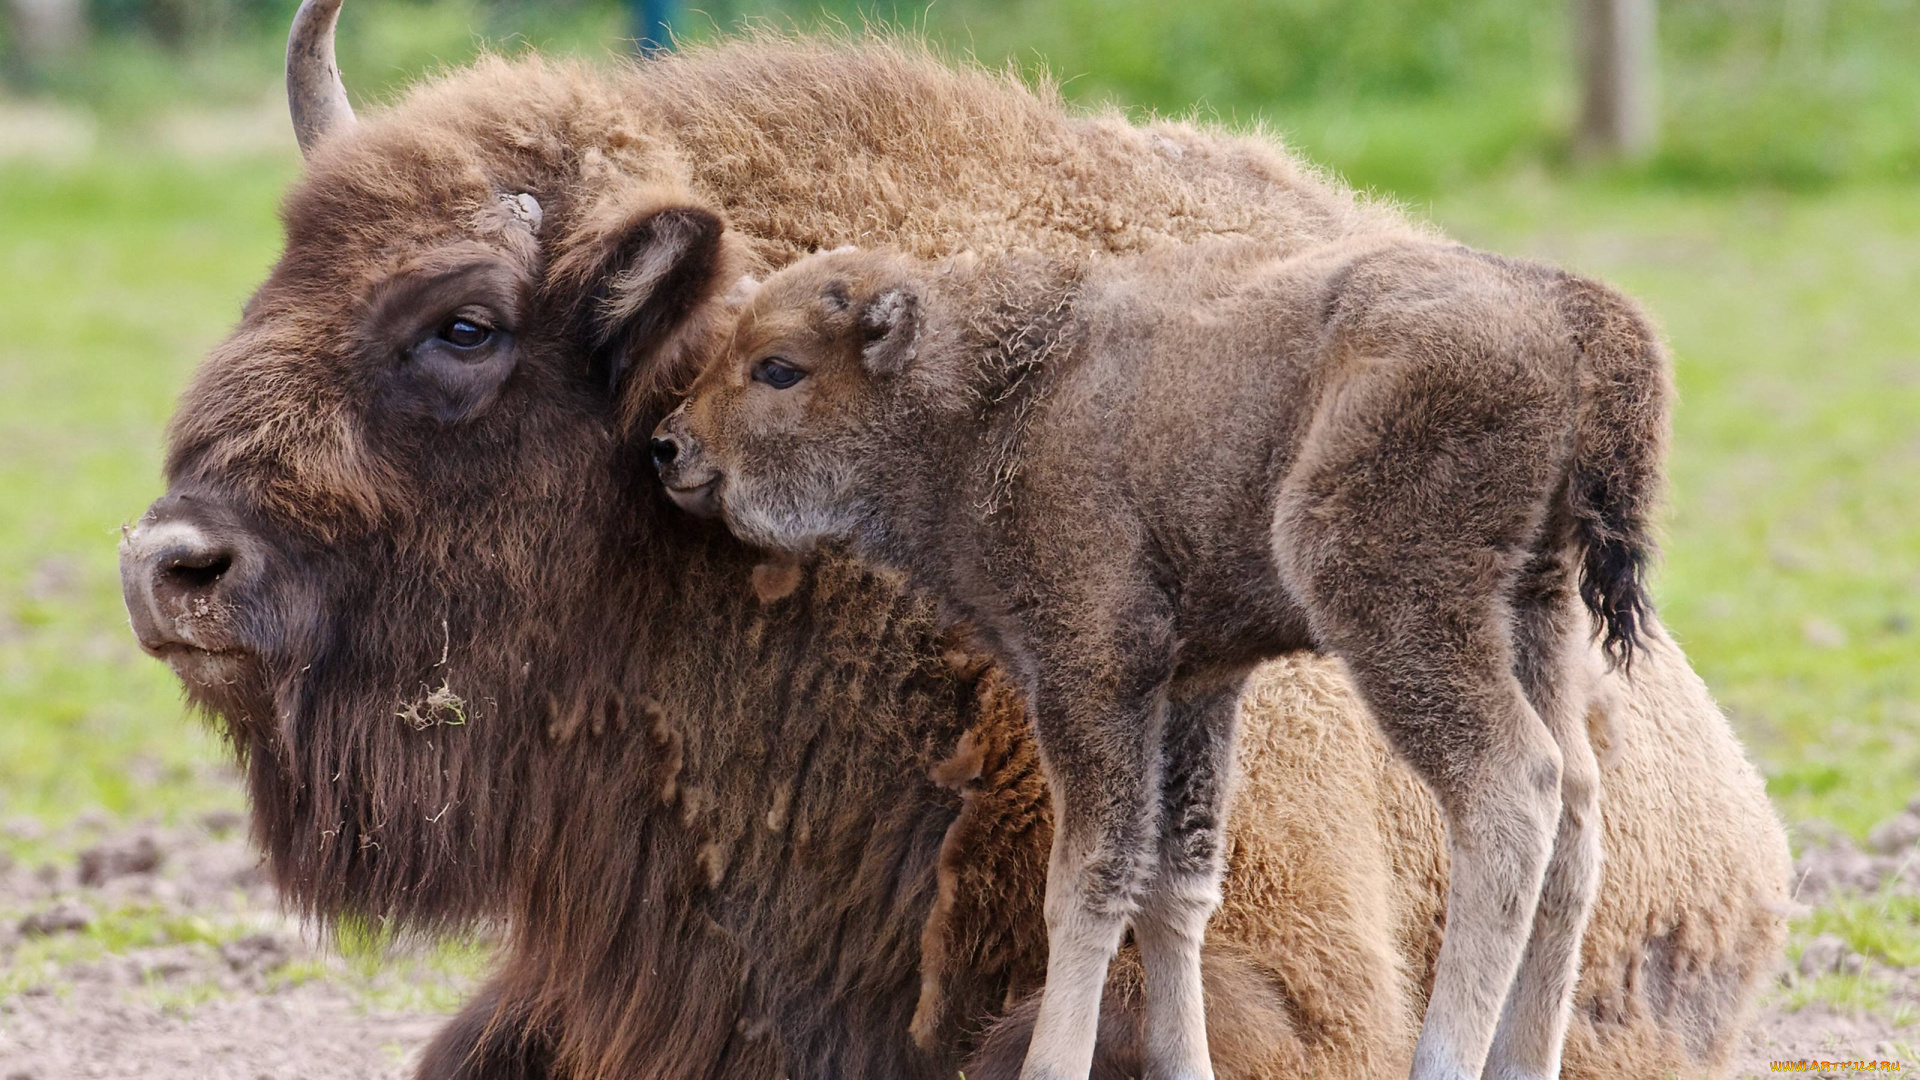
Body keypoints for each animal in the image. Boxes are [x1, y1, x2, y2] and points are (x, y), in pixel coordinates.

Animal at [648, 237, 1666, 1076]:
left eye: (778, 368)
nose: (668, 446)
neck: (993, 403)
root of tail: (1564, 310)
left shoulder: (1090, 674)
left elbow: (1089, 883)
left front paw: (1052, 1064)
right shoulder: (1195, 687)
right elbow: (1177, 883)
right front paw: (1185, 1064)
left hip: (1395, 607)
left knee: (1512, 790)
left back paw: (1446, 1059)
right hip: (1531, 615)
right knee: (1578, 811)